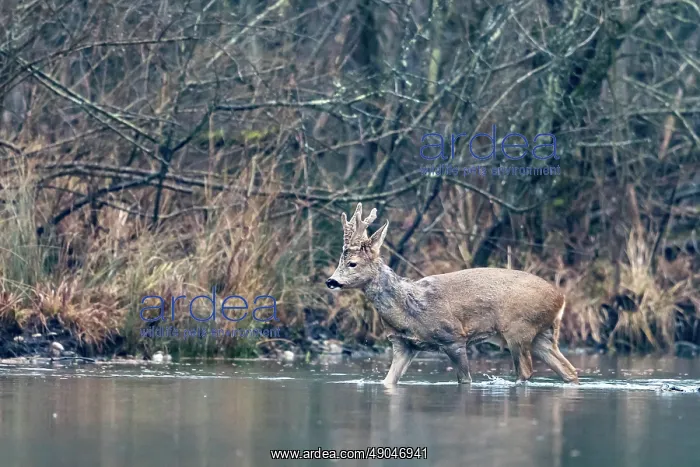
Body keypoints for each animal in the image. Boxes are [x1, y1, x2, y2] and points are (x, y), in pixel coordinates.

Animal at [325, 203, 579, 387]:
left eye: (353, 263)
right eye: (339, 261)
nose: (331, 281)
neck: (409, 310)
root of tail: (561, 299)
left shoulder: (453, 337)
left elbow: (465, 380)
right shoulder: (403, 344)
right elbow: (388, 381)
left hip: (519, 329)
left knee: (525, 372)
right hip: (542, 335)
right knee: (569, 371)